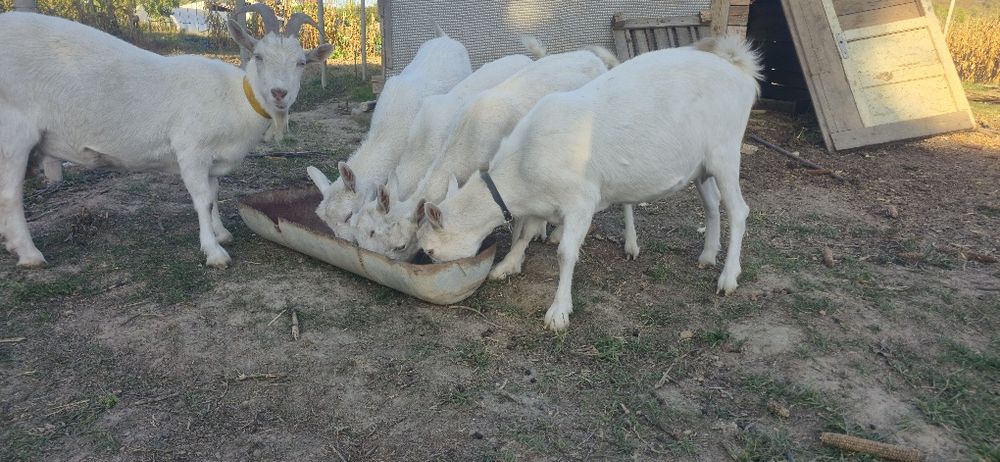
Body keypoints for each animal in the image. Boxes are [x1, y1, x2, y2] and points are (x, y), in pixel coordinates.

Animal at [0, 6, 332, 268]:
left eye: (301, 63)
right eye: (259, 56)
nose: (279, 93)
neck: (234, 98)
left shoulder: (212, 160)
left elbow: (213, 195)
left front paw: (221, 233)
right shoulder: (191, 150)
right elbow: (202, 200)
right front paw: (214, 252)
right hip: (13, 131)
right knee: (10, 195)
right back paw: (30, 255)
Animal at [417, 36, 762, 331]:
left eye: (430, 249)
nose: (425, 263)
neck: (520, 169)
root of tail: (738, 67)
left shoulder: (580, 201)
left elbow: (566, 253)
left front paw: (558, 312)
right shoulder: (542, 202)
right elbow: (526, 234)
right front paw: (506, 266)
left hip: (726, 152)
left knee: (739, 211)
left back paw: (728, 278)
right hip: (701, 165)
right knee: (712, 203)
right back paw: (707, 255)